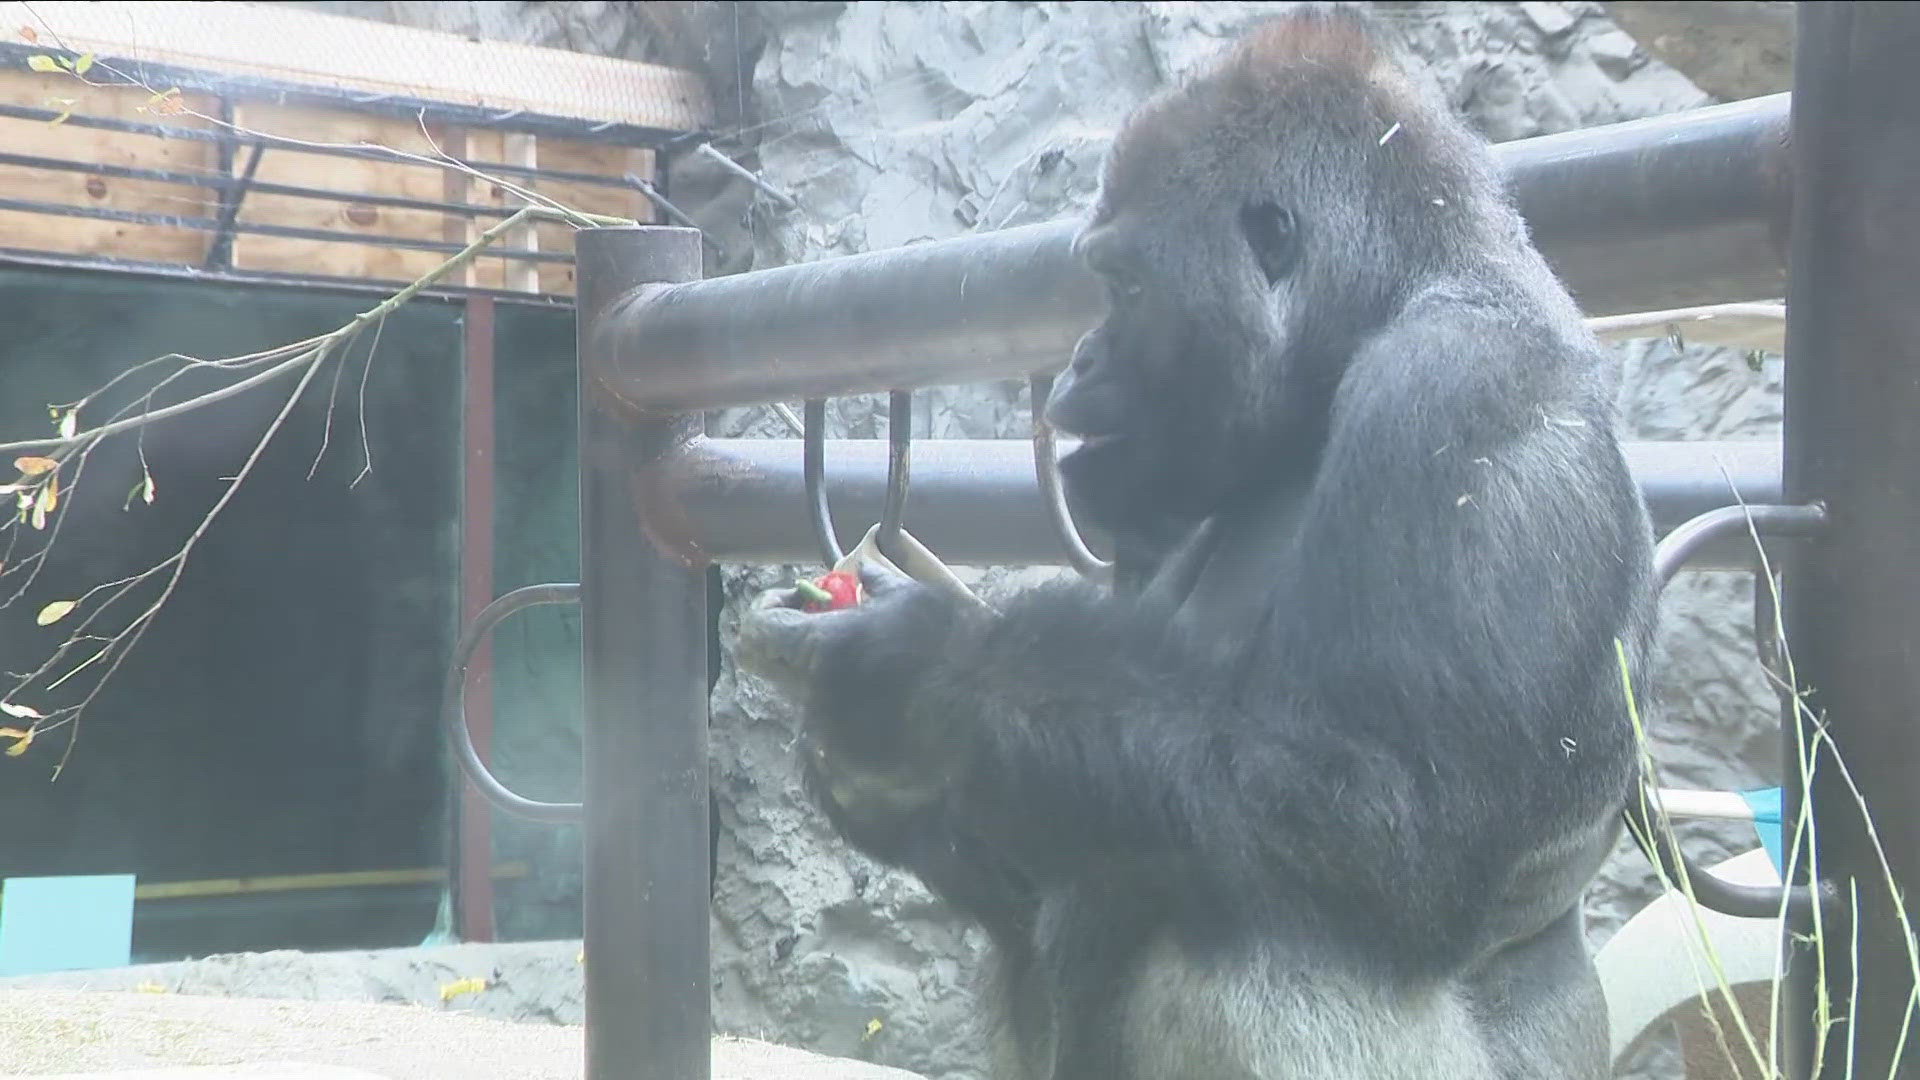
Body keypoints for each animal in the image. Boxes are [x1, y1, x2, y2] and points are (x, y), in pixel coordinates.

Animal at [729, 4, 1651, 1068]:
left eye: (1124, 286)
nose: (1079, 360)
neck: (1394, 298)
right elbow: (1043, 811)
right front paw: (883, 770)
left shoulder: (1463, 391)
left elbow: (1397, 821)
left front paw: (909, 674)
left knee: (1276, 937)